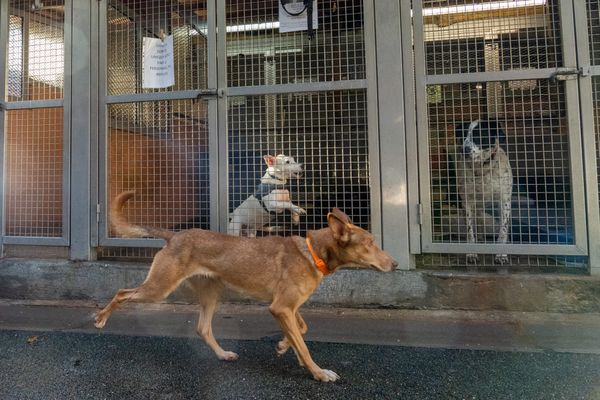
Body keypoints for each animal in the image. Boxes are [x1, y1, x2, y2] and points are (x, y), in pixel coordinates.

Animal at [95, 192, 398, 382]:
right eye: (370, 243)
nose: (395, 264)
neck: (312, 252)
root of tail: (174, 235)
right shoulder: (280, 307)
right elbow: (304, 345)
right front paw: (318, 372)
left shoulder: (289, 307)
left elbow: (301, 330)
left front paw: (283, 346)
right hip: (159, 287)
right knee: (122, 294)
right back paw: (100, 319)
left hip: (211, 294)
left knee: (202, 328)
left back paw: (223, 354)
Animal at [458, 119, 512, 264]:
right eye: (462, 135)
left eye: (479, 134)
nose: (463, 149)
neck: (482, 168)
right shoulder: (467, 201)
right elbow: (470, 229)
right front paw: (471, 253)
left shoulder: (504, 200)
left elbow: (503, 228)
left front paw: (501, 255)